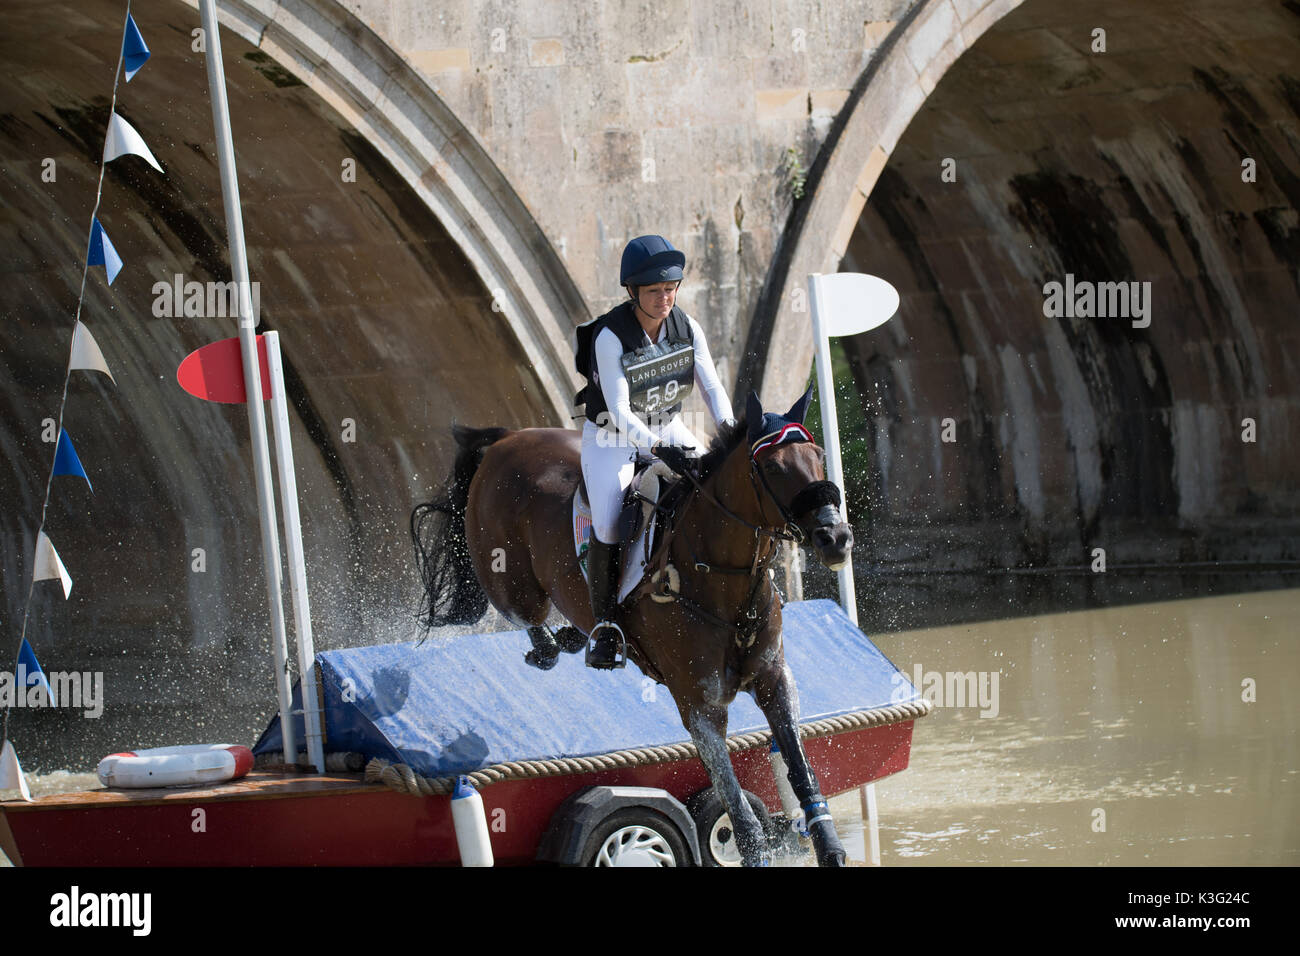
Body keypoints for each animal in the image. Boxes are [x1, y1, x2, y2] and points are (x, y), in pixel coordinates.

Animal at [408, 390, 852, 868]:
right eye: (772, 468)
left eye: (819, 458)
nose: (835, 539)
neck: (718, 579)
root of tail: (509, 438)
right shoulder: (700, 706)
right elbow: (737, 807)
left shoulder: (774, 680)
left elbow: (800, 767)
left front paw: (830, 848)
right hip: (511, 581)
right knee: (530, 621)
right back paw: (558, 644)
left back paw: (578, 636)